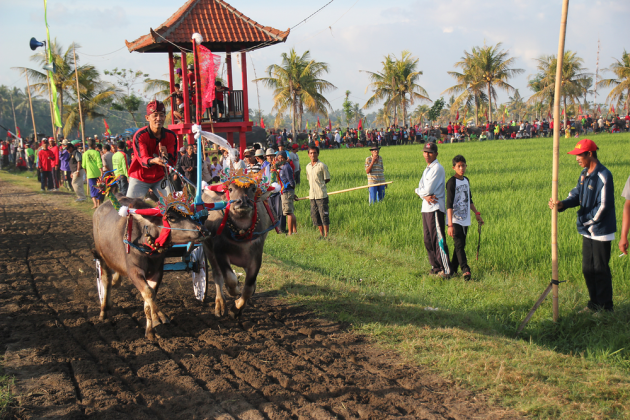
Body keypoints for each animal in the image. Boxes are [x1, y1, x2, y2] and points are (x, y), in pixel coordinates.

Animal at [92, 195, 206, 340]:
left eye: (189, 215)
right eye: (171, 217)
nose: (203, 230)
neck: (146, 245)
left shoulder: (157, 271)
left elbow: (148, 299)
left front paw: (151, 329)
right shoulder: (134, 271)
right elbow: (148, 293)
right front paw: (159, 317)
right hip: (102, 257)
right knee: (105, 280)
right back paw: (103, 310)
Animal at [200, 181, 274, 318]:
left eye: (253, 188)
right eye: (230, 189)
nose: (243, 201)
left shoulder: (256, 256)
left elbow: (249, 287)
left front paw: (236, 308)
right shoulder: (219, 252)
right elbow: (230, 279)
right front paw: (233, 290)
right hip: (207, 249)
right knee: (217, 276)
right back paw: (220, 305)